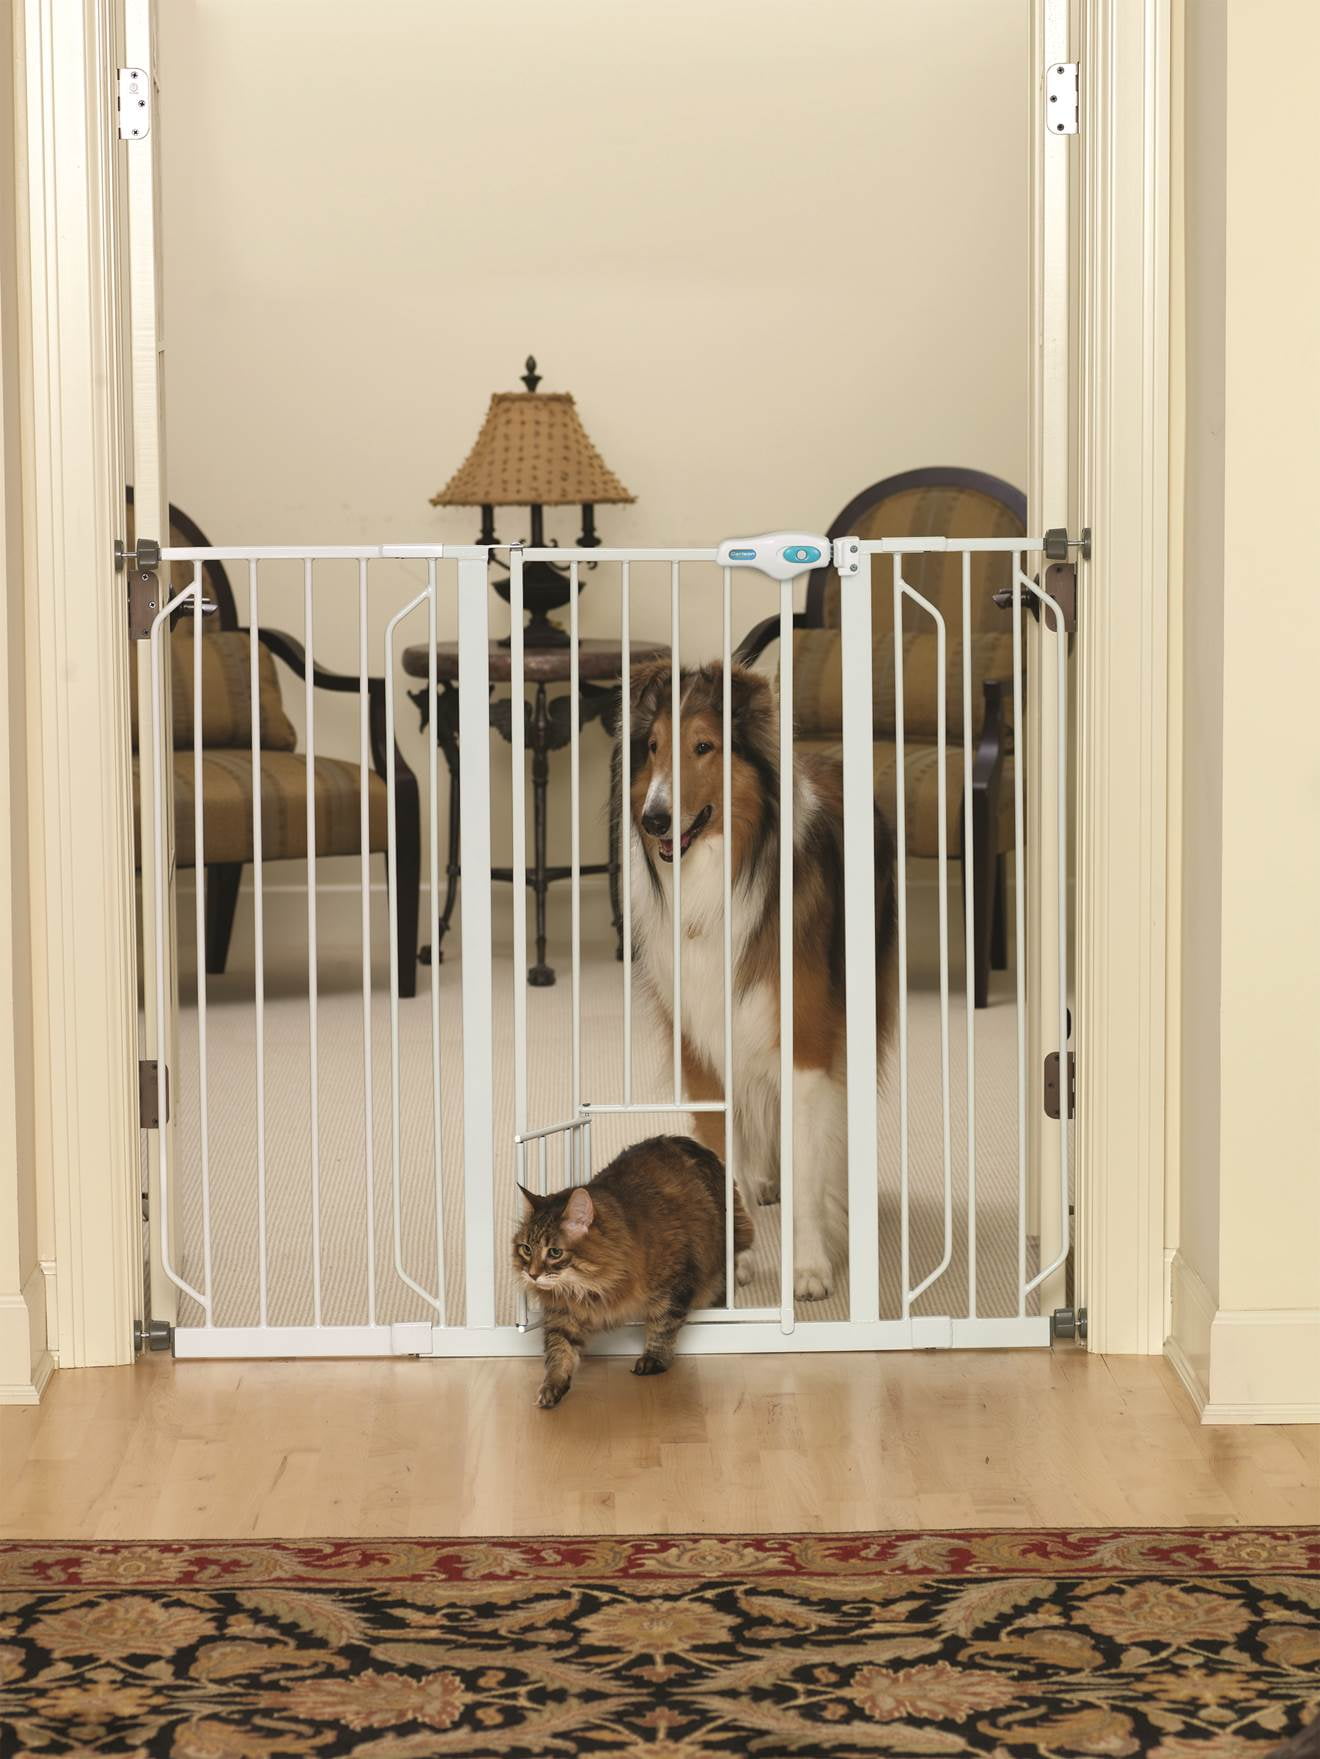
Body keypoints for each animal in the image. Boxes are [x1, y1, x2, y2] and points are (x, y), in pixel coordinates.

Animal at [513, 1132, 749, 1407]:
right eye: (526, 1249)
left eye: (554, 1253)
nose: (532, 1274)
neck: (588, 1286)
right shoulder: (563, 1311)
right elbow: (559, 1349)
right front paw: (552, 1387)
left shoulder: (674, 1282)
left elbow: (662, 1326)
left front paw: (654, 1360)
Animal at [623, 661, 901, 1308]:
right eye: (654, 748)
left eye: (704, 746)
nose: (654, 819)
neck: (721, 875)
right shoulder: (701, 1045)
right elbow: (724, 1146)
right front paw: (735, 1258)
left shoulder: (806, 1039)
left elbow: (808, 1152)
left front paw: (810, 1267)